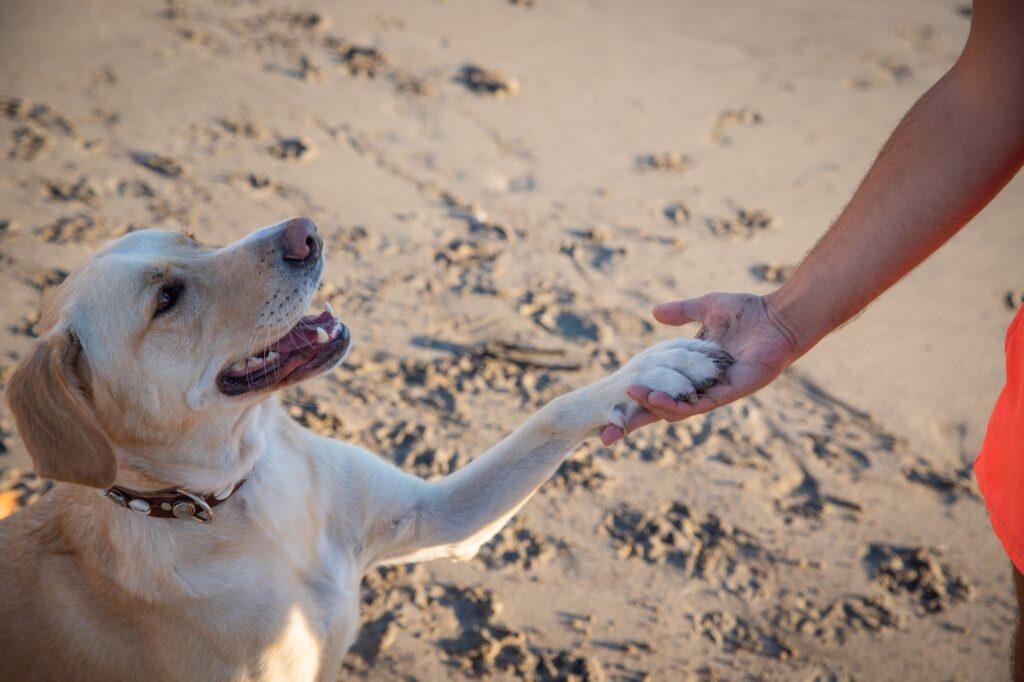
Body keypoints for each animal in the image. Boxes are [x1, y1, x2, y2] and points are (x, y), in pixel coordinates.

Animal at [2, 216, 737, 675]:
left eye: (190, 237)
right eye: (166, 299)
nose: (304, 231)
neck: (239, 499)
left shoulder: (437, 516)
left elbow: (551, 414)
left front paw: (648, 369)